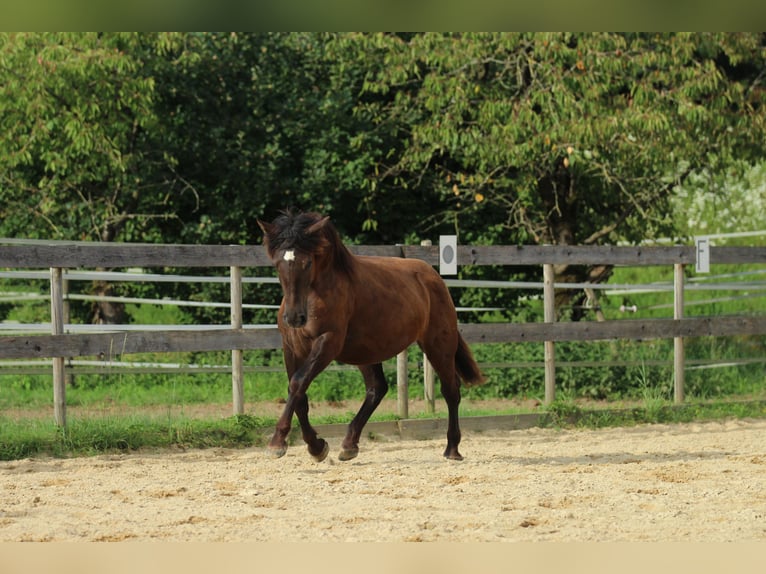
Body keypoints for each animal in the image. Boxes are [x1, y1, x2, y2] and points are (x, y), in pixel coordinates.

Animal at [258, 213, 486, 464]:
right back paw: (349, 445)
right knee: (377, 388)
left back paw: (452, 449)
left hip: (437, 343)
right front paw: (316, 447)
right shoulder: (291, 347)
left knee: (450, 390)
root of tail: (433, 277)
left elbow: (298, 384)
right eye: (277, 263)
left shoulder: (328, 343)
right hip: (366, 350)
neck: (316, 294)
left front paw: (278, 443)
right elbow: (298, 394)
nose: (294, 317)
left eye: (307, 262)